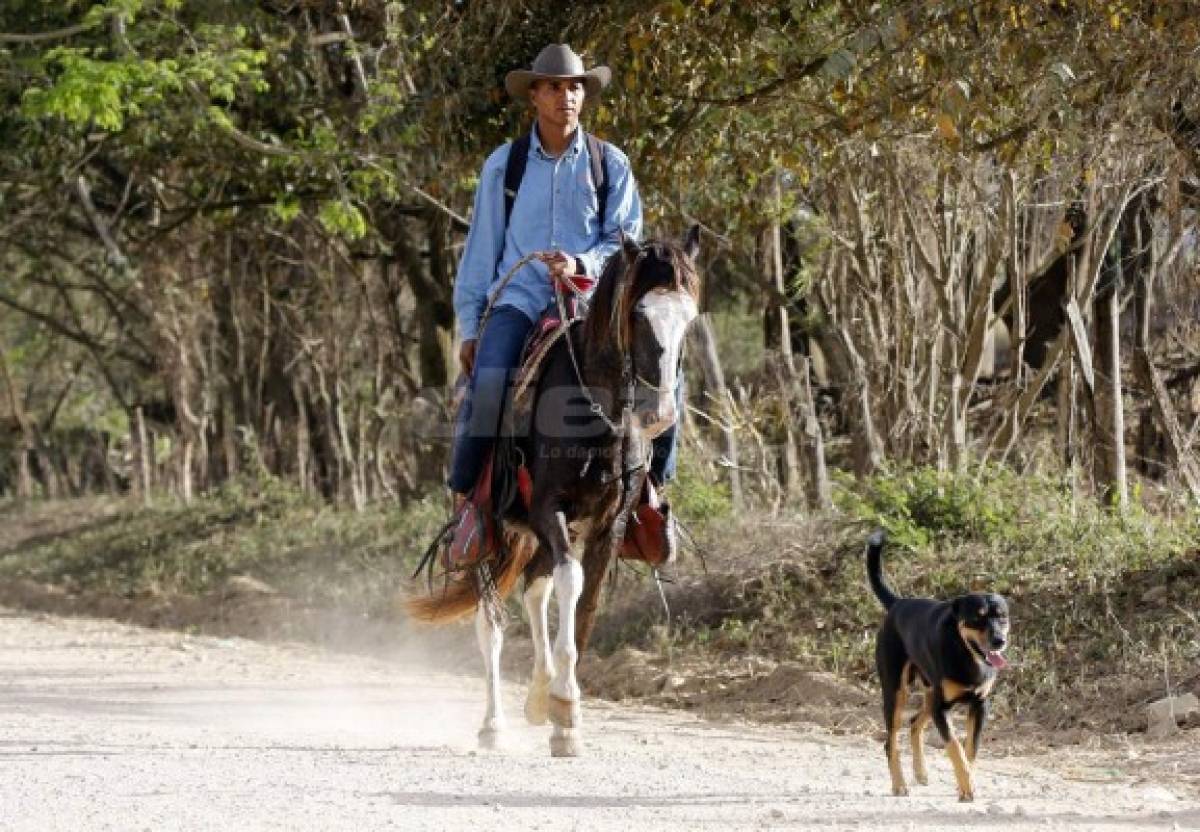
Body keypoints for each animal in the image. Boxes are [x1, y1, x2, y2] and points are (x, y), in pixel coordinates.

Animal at [868, 528, 1008, 801]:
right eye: (977, 618)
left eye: (1003, 617)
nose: (999, 641)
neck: (965, 653)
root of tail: (898, 603)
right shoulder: (942, 709)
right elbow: (955, 747)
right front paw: (966, 788)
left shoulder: (979, 706)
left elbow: (970, 750)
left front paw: (966, 783)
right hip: (897, 692)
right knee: (891, 742)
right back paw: (899, 785)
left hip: (931, 693)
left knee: (914, 724)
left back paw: (920, 773)